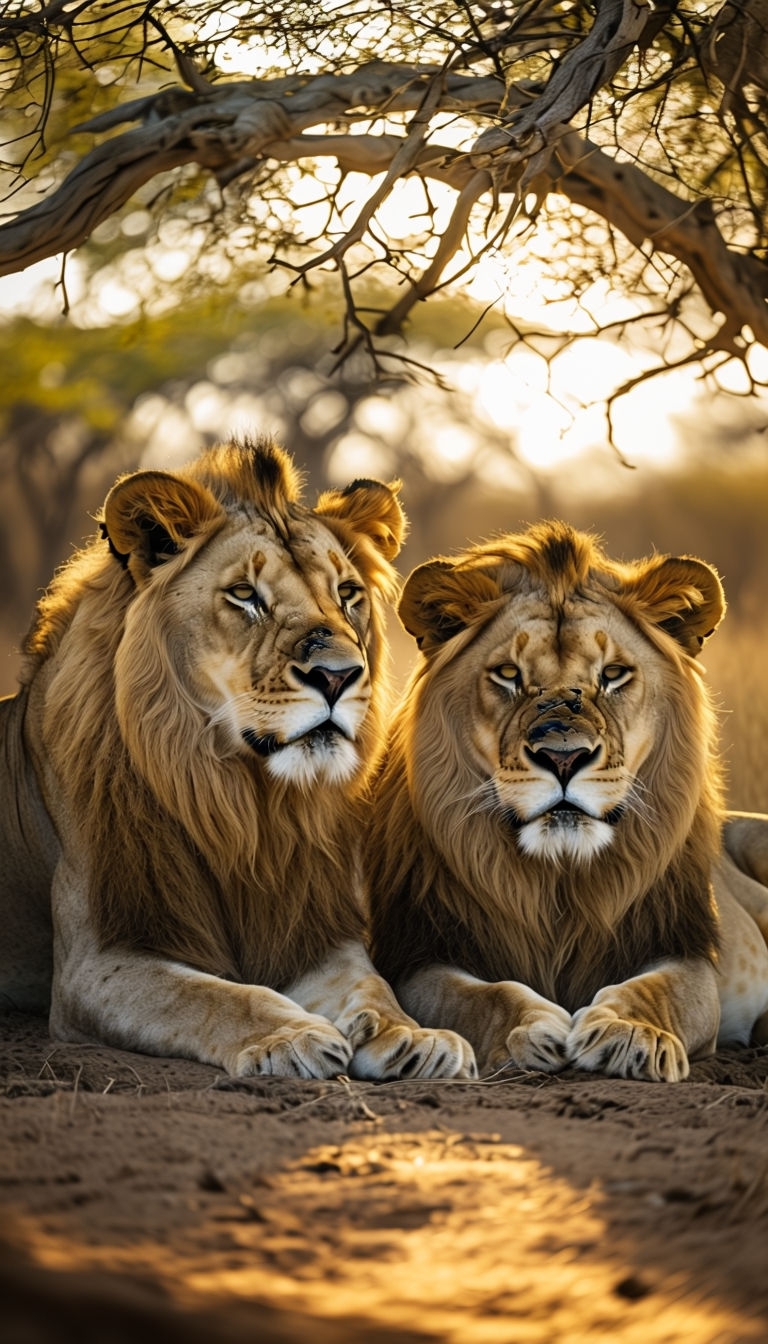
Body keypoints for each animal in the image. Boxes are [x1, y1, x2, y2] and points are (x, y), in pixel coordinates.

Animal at [0, 438, 476, 1080]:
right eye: (246, 596)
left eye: (347, 594)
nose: (340, 675)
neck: (246, 803)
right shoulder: (95, 962)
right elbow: (212, 995)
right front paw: (293, 1035)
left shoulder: (316, 930)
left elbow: (372, 988)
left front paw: (413, 1035)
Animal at [365, 518, 768, 1085]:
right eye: (509, 674)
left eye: (613, 674)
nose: (563, 755)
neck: (559, 876)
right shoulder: (422, 955)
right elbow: (482, 996)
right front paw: (533, 1029)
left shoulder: (683, 949)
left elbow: (654, 990)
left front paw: (631, 1034)